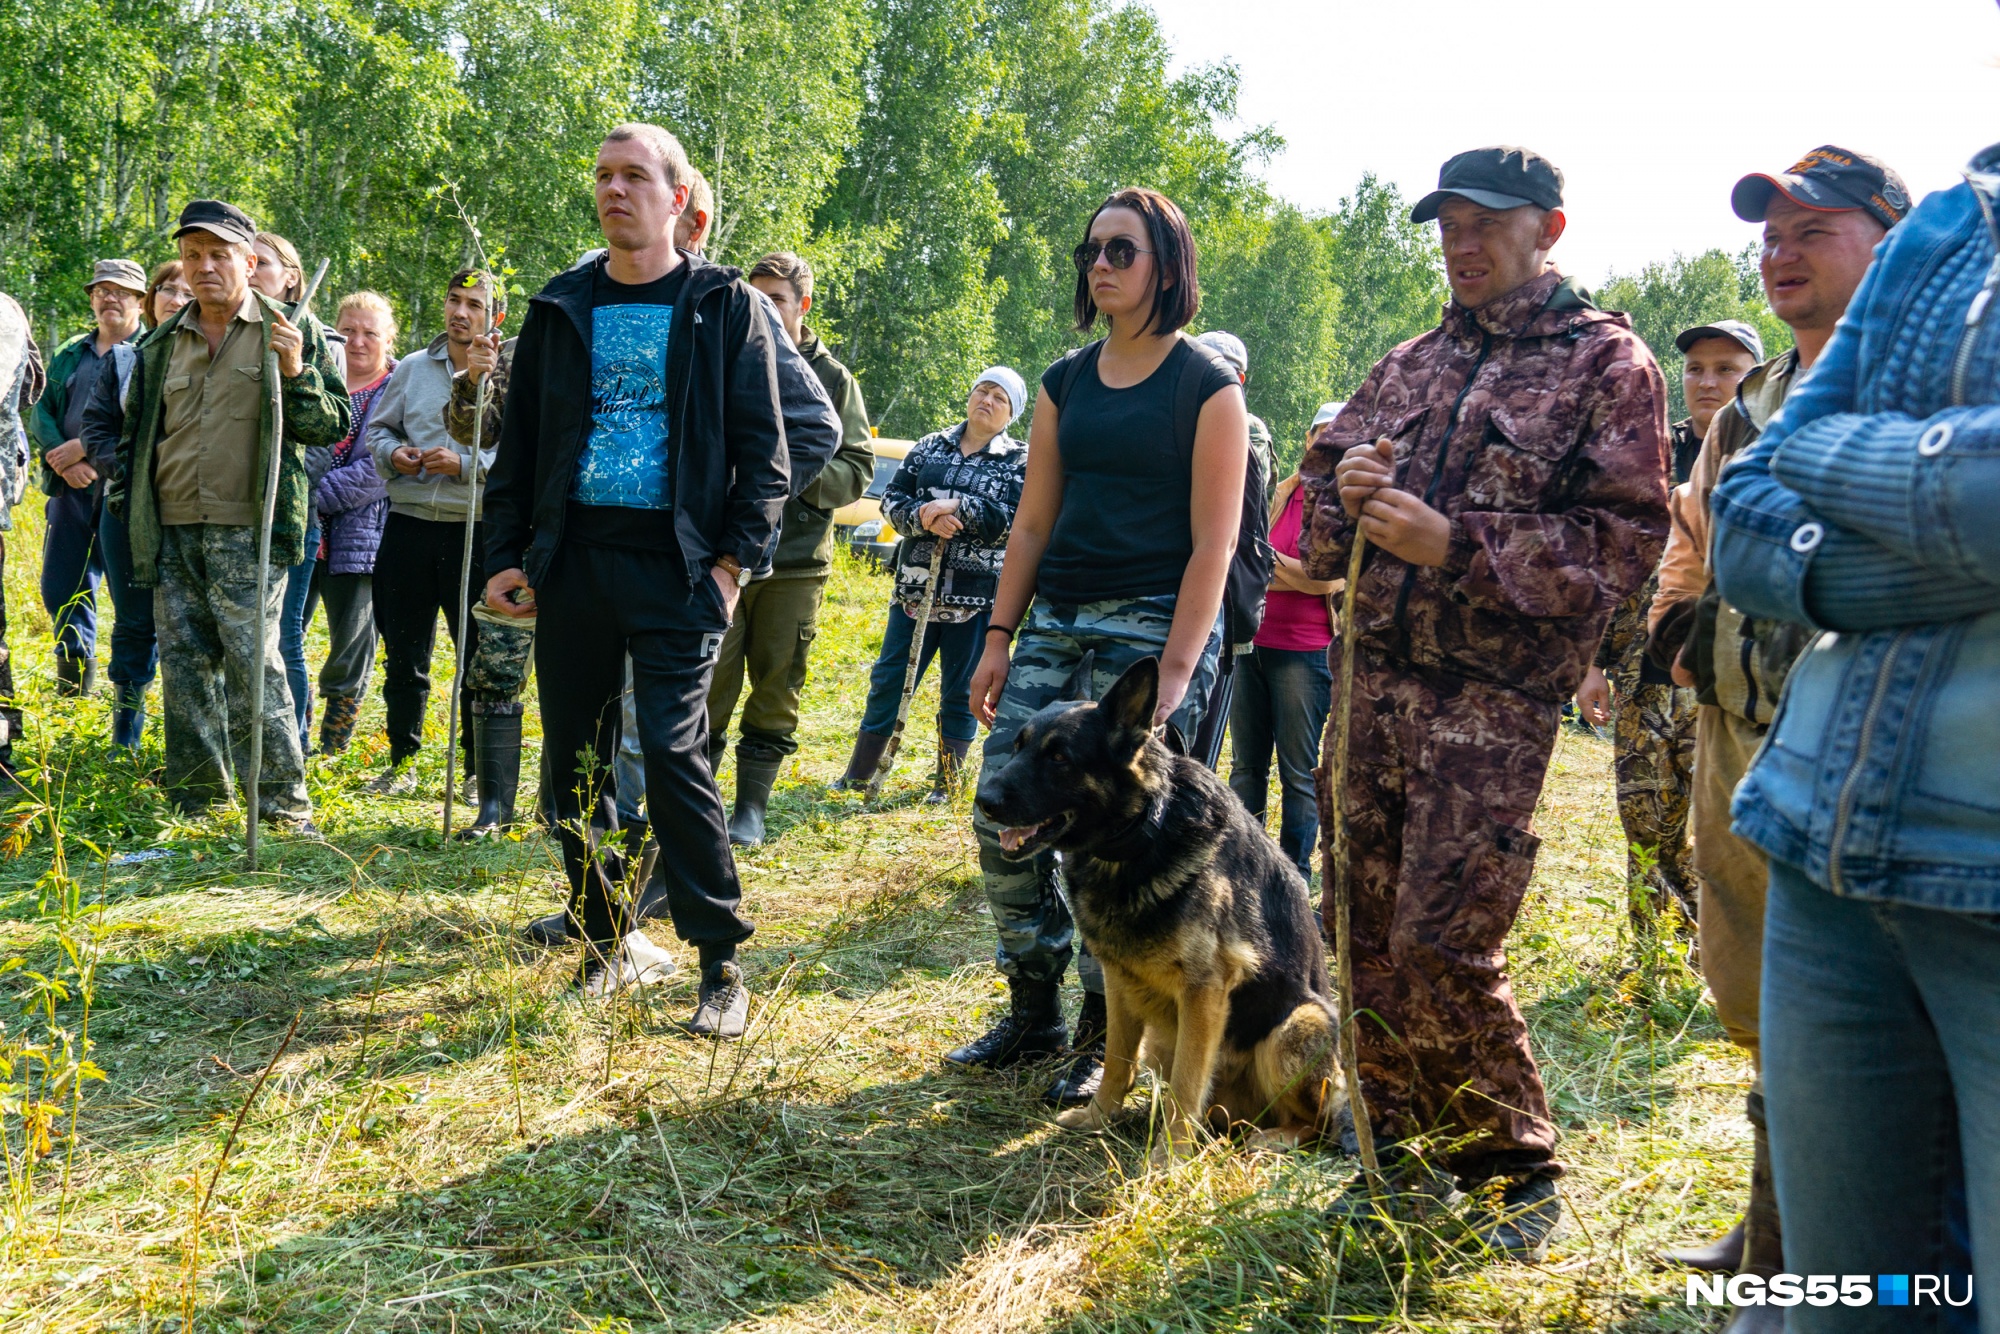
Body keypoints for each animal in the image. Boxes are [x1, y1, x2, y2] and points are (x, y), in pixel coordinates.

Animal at [972, 656, 1344, 1160]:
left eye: (1059, 758)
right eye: (1017, 746)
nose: (983, 802)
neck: (1146, 831)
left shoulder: (1204, 992)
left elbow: (1187, 1084)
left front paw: (1169, 1156)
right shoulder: (1118, 978)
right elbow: (1115, 1058)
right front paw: (1098, 1117)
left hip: (1299, 1024)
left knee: (1319, 1125)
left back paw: (1273, 1138)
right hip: (1165, 1041)